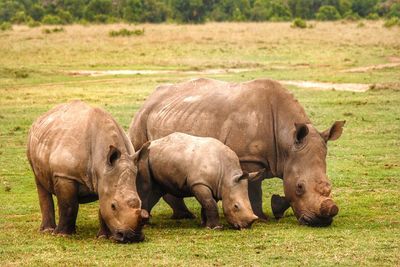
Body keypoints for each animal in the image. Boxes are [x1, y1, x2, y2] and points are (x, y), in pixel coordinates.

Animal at [27, 100, 148, 243]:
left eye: (140, 203)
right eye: (113, 206)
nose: (132, 237)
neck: (102, 164)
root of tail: (42, 117)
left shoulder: (105, 177)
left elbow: (102, 206)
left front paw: (104, 237)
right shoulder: (65, 175)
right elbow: (69, 205)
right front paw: (62, 235)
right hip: (32, 140)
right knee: (41, 183)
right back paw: (48, 230)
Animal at [130, 78, 344, 227]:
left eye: (329, 183)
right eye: (300, 186)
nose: (321, 221)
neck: (288, 142)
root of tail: (149, 98)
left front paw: (276, 209)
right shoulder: (248, 159)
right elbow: (254, 189)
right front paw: (262, 218)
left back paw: (185, 216)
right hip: (141, 120)